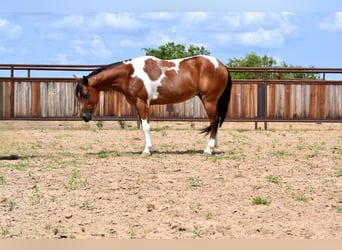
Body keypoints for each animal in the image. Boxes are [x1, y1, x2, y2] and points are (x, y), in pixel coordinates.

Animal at [75, 55, 232, 155]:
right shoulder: (137, 104)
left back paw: (208, 149)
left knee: (214, 121)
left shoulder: (142, 102)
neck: (129, 74)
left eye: (85, 94)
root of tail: (221, 65)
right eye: (78, 96)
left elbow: (146, 126)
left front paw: (147, 150)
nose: (85, 116)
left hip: (209, 100)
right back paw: (214, 146)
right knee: (216, 121)